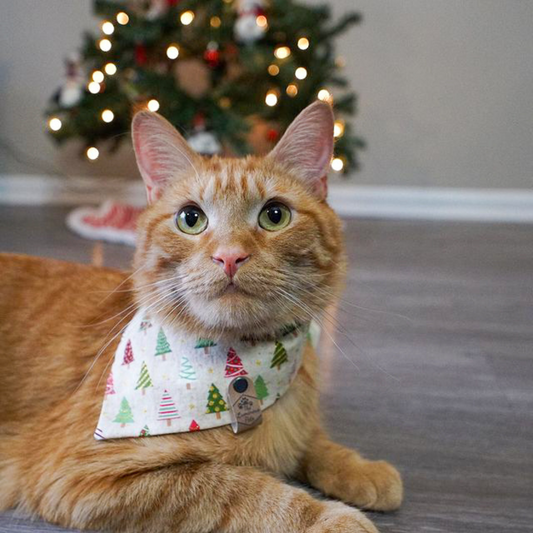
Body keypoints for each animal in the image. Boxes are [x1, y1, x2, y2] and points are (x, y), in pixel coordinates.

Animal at [0, 102, 400, 528]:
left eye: (275, 215)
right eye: (191, 219)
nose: (230, 256)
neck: (240, 369)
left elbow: (311, 440)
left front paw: (360, 468)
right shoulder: (81, 474)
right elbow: (241, 488)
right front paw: (330, 518)